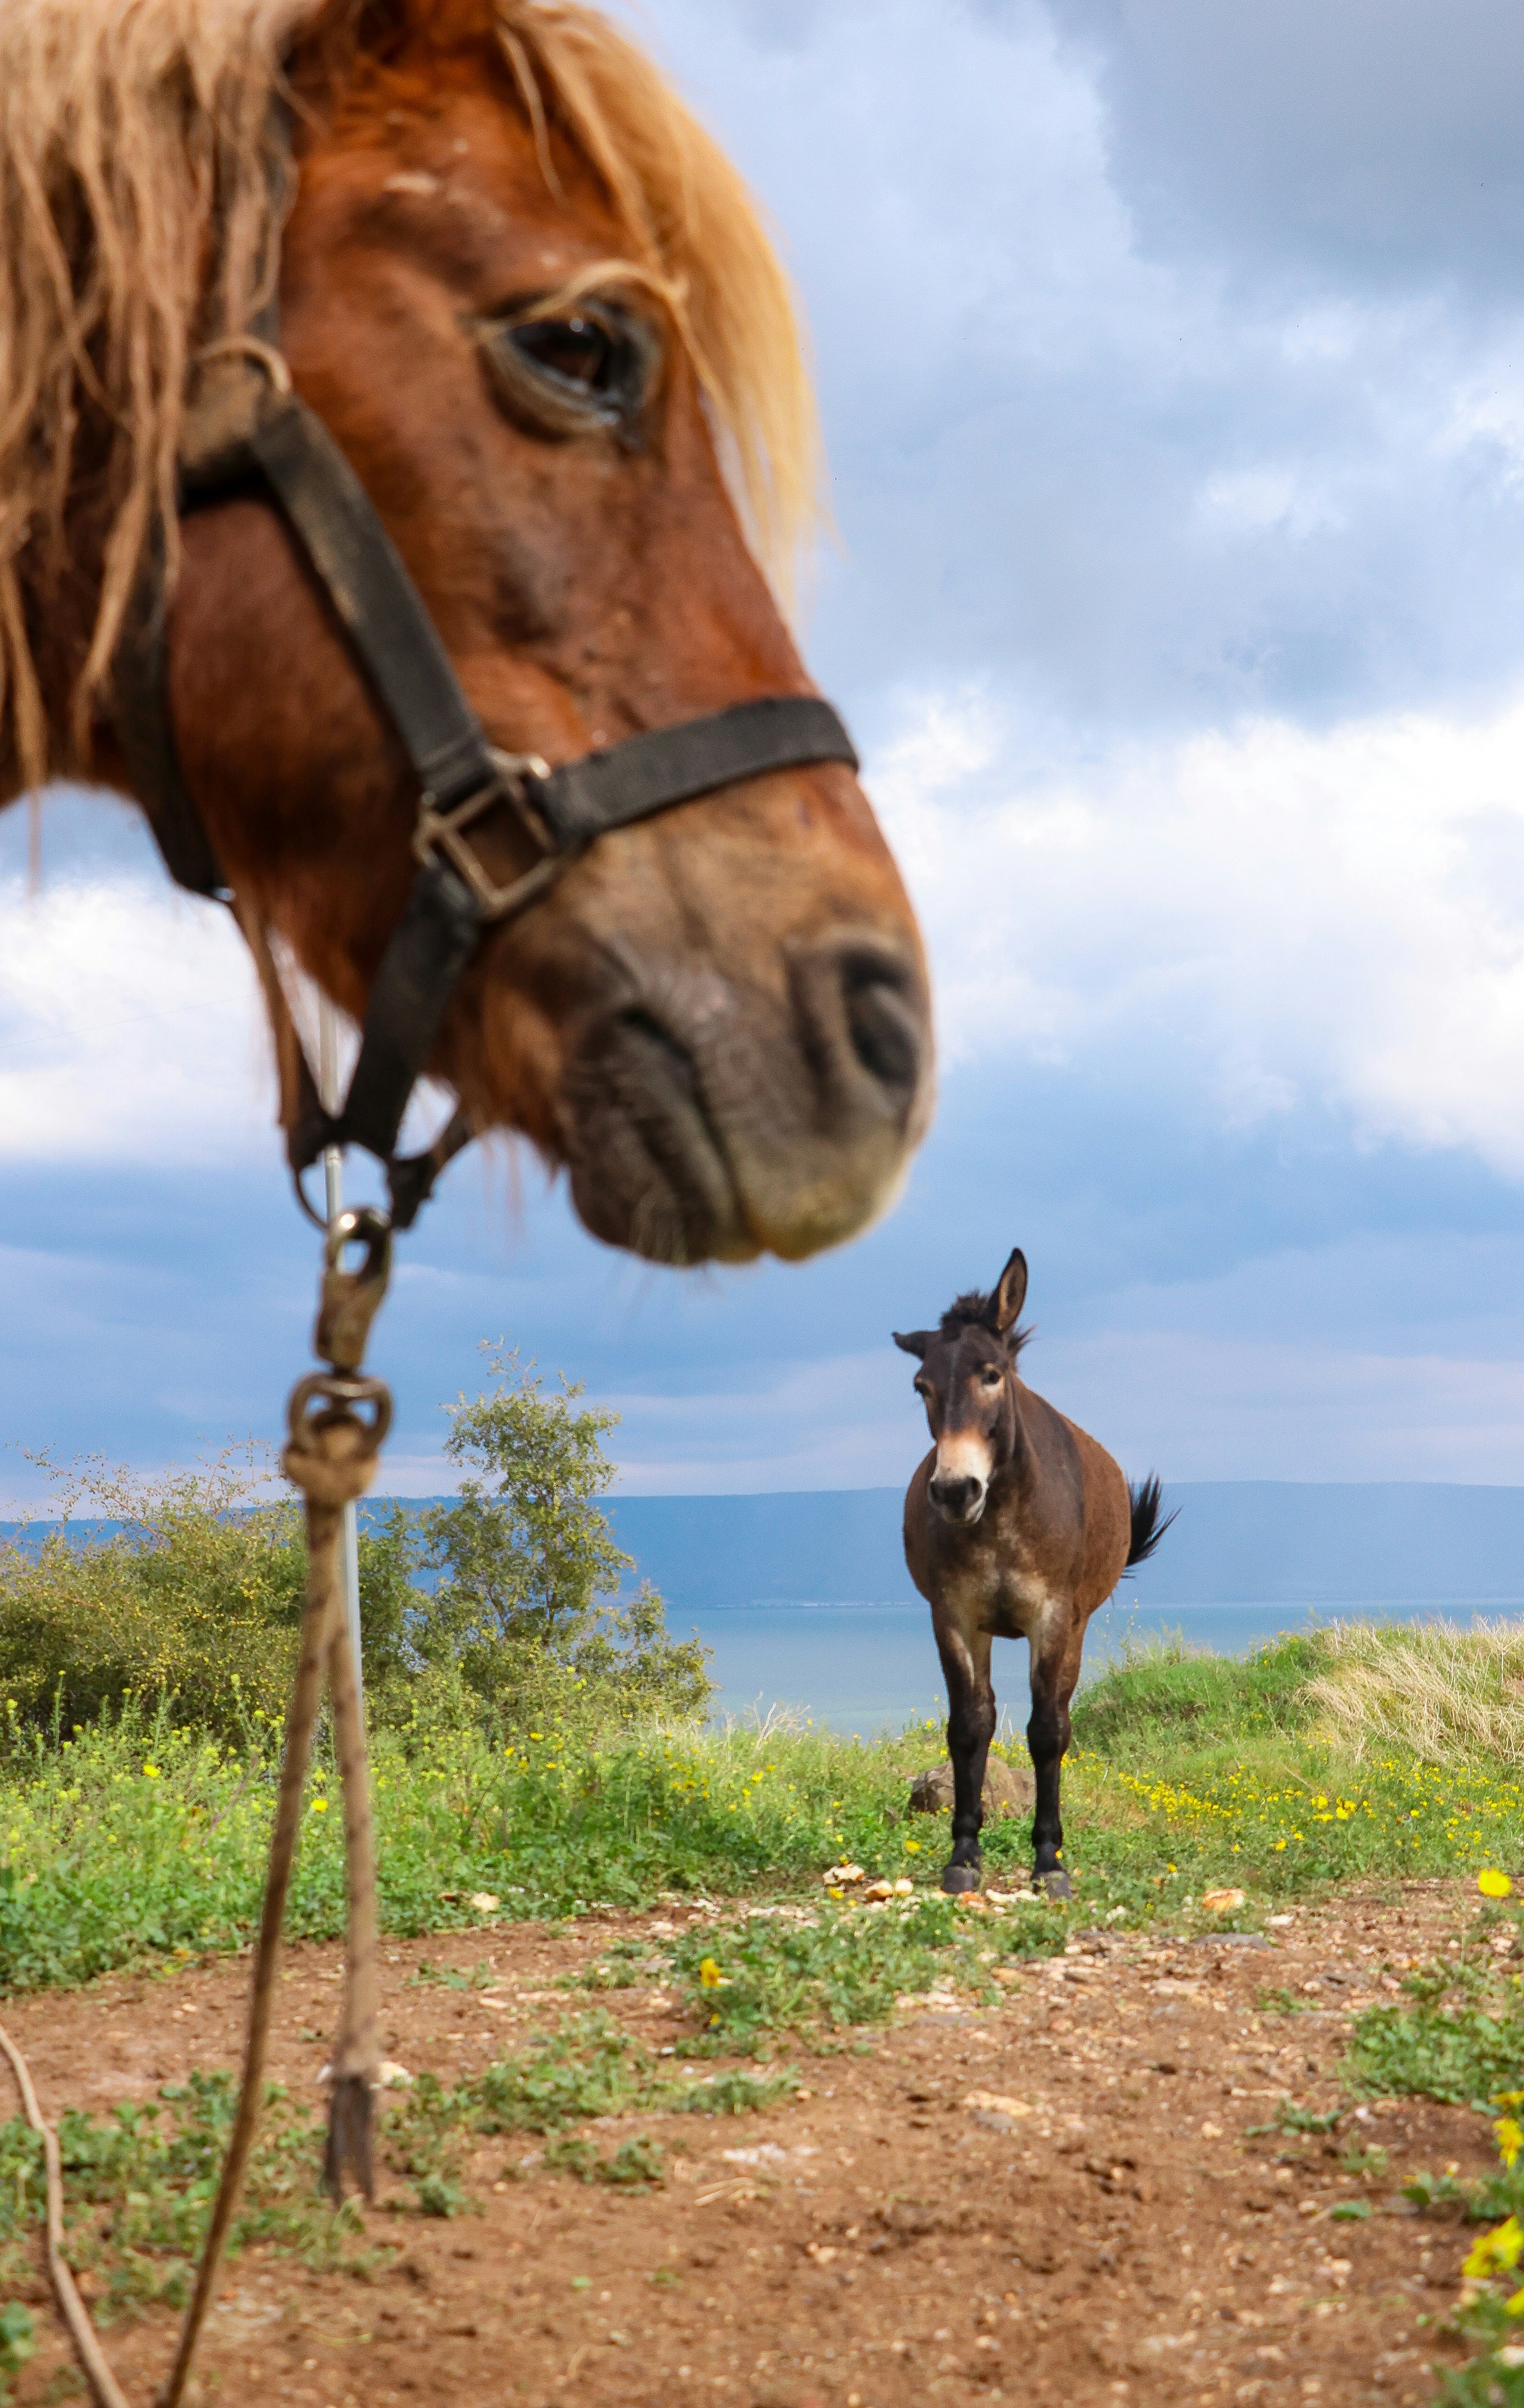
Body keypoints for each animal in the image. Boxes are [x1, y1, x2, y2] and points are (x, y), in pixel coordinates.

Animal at [895, 1248, 1175, 1897]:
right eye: (921, 1386)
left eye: (992, 1373)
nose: (955, 1491)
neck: (1001, 1514)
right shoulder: (956, 1617)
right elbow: (969, 1727)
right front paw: (964, 1854)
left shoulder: (1054, 1619)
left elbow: (1048, 1731)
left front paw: (1049, 1860)